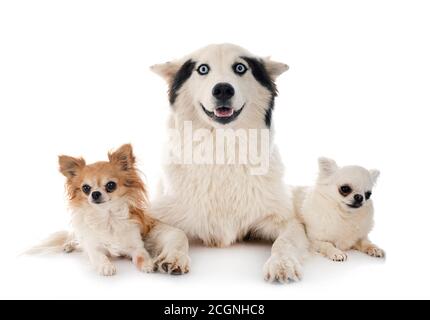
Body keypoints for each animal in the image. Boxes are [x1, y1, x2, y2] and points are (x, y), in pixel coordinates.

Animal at [151, 42, 310, 282]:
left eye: (240, 68)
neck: (222, 149)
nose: (223, 89)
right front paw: (174, 256)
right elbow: (177, 233)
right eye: (203, 69)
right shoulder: (153, 217)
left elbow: (284, 242)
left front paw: (282, 264)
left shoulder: (288, 220)